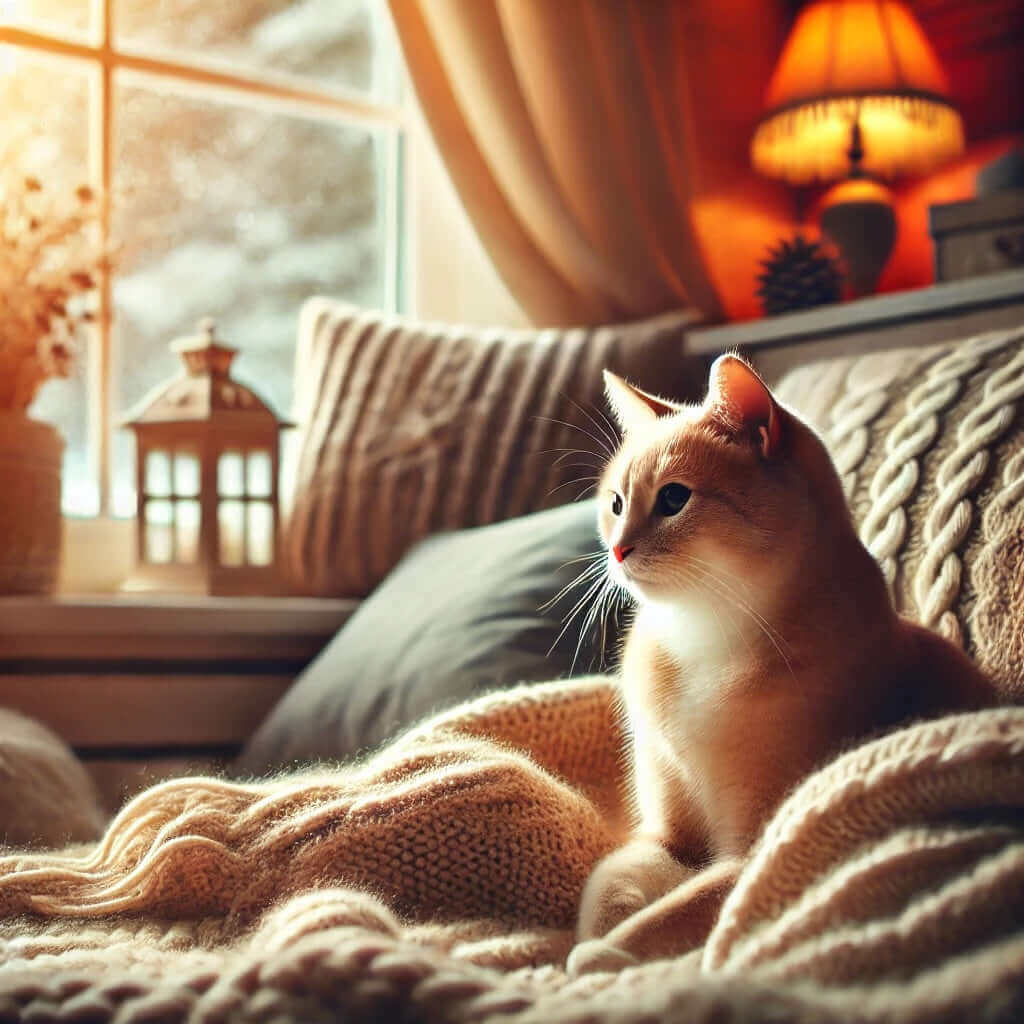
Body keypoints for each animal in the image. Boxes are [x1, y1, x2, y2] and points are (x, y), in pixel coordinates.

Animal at [577, 358, 999, 966]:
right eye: (614, 505)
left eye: (674, 499)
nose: (617, 551)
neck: (703, 639)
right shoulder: (667, 841)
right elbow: (608, 887)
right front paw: (588, 946)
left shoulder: (752, 853)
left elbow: (665, 919)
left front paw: (601, 963)